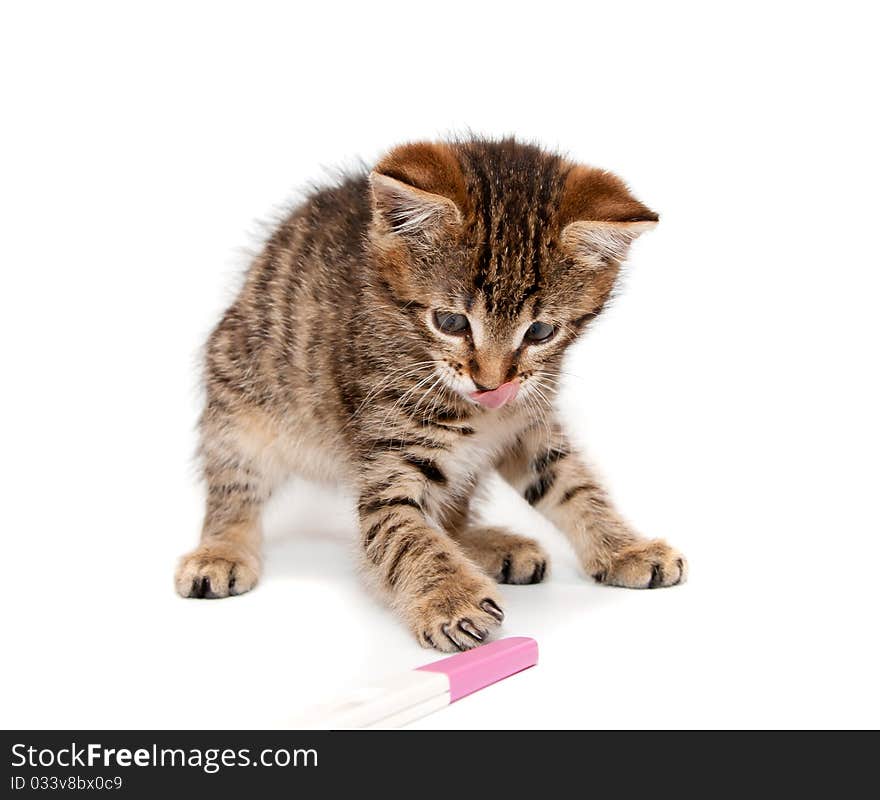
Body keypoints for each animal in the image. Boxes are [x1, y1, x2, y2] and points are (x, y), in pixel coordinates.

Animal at [177, 136, 688, 648]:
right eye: (450, 322)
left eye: (541, 331)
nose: (491, 384)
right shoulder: (389, 452)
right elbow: (407, 535)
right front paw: (451, 600)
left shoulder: (528, 420)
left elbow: (572, 484)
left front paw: (626, 548)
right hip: (240, 398)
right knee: (233, 487)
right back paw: (220, 551)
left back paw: (488, 545)